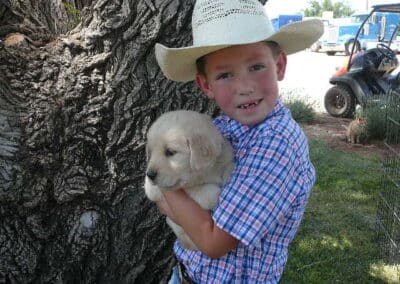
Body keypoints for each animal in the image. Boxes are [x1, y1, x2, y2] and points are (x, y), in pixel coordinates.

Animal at [144, 110, 233, 250]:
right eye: (151, 152)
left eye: (170, 152)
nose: (150, 174)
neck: (207, 171)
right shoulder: (151, 189)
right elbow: (193, 189)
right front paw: (213, 193)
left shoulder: (225, 156)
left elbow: (229, 166)